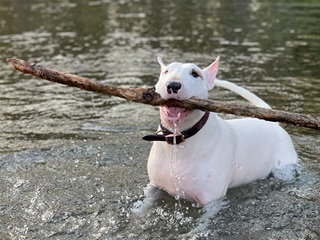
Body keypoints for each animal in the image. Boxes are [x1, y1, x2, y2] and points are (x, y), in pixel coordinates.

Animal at [141, 56, 298, 208]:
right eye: (166, 71)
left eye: (195, 74)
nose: (173, 85)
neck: (179, 138)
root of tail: (274, 124)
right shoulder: (154, 186)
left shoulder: (212, 200)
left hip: (284, 167)